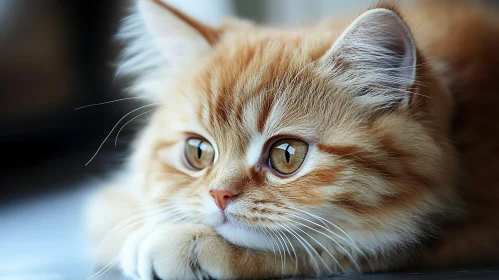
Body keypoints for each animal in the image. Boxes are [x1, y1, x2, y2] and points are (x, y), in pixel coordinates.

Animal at [86, 0, 499, 278]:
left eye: (287, 155)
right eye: (198, 152)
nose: (219, 195)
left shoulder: (460, 232)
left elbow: (319, 250)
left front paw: (187, 242)